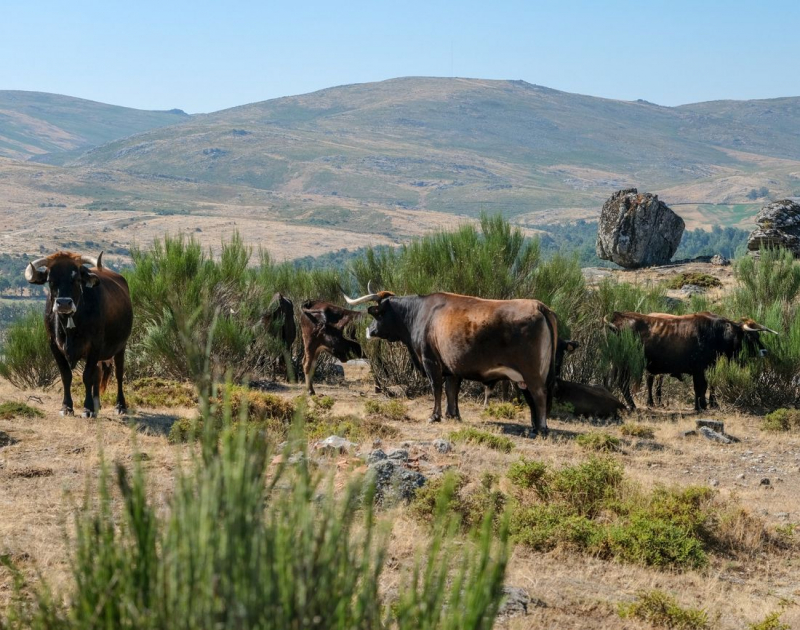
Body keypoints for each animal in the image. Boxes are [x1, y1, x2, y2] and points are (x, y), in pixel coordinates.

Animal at [25, 252, 132, 420]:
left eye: (76, 279)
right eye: (51, 280)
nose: (63, 303)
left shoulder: (95, 346)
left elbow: (87, 376)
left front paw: (87, 409)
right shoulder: (54, 346)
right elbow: (66, 376)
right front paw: (67, 407)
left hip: (121, 346)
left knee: (119, 374)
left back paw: (120, 406)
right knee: (98, 374)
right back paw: (97, 405)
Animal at [342, 288, 556, 436]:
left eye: (378, 314)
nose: (369, 331)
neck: (421, 313)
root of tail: (538, 306)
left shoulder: (431, 362)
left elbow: (436, 387)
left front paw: (434, 416)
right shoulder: (452, 368)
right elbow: (451, 390)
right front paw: (452, 414)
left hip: (531, 372)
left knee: (539, 394)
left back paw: (542, 428)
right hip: (526, 376)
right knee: (532, 398)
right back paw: (535, 427)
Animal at [608, 312, 776, 412]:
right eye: (751, 337)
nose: (765, 351)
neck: (716, 333)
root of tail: (618, 319)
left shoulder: (706, 369)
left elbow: (704, 387)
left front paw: (702, 405)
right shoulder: (698, 369)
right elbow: (700, 387)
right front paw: (701, 406)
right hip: (625, 364)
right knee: (623, 383)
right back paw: (632, 406)